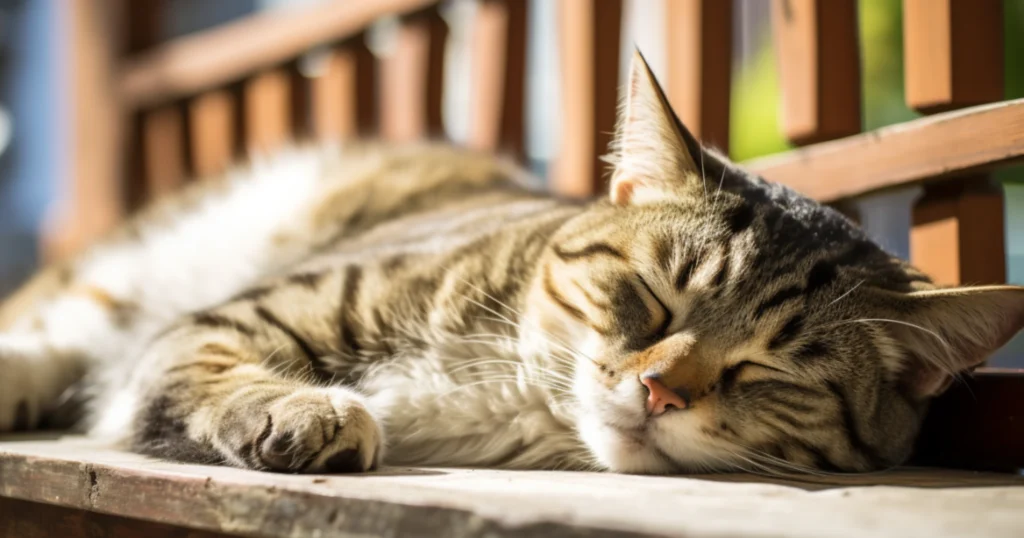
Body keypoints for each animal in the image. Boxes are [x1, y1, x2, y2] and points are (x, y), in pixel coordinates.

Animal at [2, 52, 1024, 473]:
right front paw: (303, 411)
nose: (660, 390)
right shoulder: (225, 319)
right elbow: (216, 368)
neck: (515, 398)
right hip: (118, 290)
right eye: (650, 300)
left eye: (768, 370)